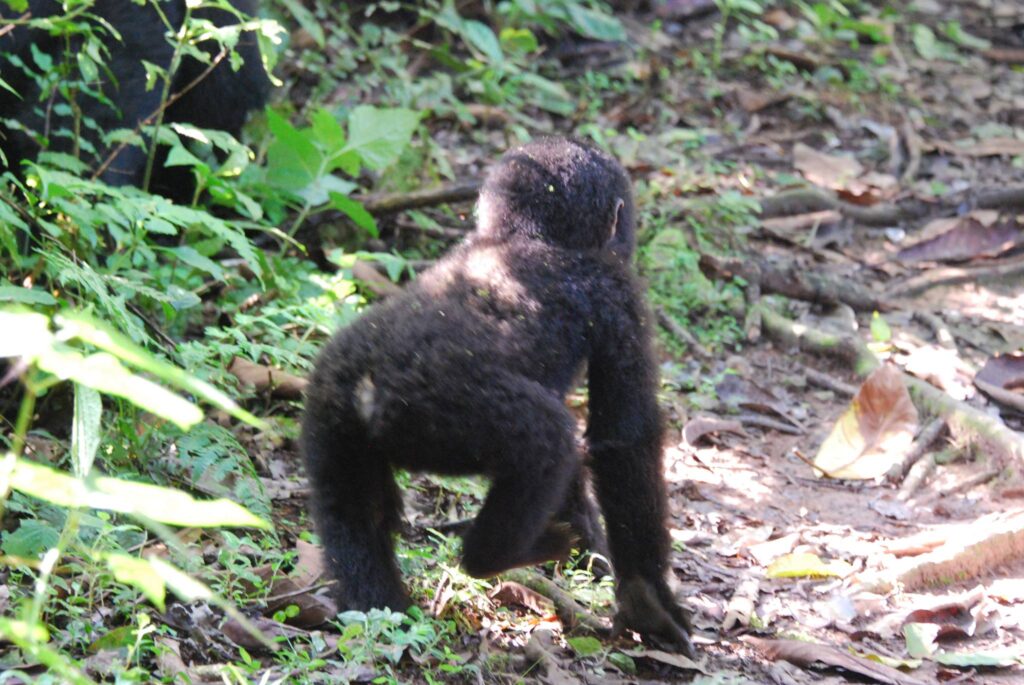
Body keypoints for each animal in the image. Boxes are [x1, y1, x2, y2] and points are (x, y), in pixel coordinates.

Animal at [299, 136, 696, 655]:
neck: (524, 237)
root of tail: (367, 387)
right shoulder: (620, 295)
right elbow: (626, 439)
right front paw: (648, 599)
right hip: (442, 413)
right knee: (549, 439)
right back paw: (493, 556)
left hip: (329, 405)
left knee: (354, 510)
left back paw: (381, 612)